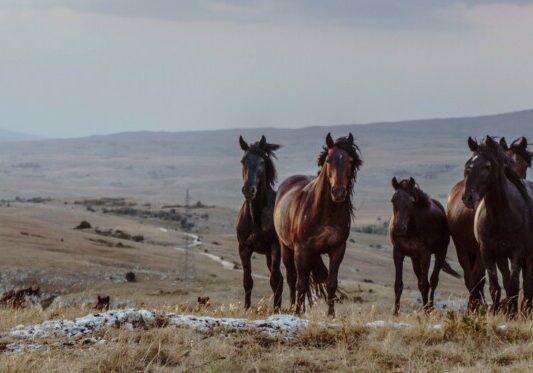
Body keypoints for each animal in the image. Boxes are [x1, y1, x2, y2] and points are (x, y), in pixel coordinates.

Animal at [236, 135, 284, 310]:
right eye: (243, 160)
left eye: (262, 161)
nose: (249, 190)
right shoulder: (244, 248)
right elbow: (247, 280)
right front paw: (246, 308)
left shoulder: (275, 247)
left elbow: (274, 280)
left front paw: (276, 311)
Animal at [274, 132, 362, 316]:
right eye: (328, 160)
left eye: (351, 161)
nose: (338, 192)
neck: (324, 213)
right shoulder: (301, 250)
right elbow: (300, 284)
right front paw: (298, 312)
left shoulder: (337, 249)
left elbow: (331, 283)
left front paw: (331, 315)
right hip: (286, 248)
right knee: (292, 278)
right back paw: (292, 307)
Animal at [388, 177, 460, 314]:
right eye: (393, 200)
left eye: (411, 202)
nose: (399, 228)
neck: (411, 229)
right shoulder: (398, 253)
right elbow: (398, 284)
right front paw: (395, 313)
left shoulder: (425, 255)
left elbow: (425, 284)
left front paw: (426, 311)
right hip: (415, 259)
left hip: (440, 253)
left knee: (433, 281)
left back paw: (430, 307)